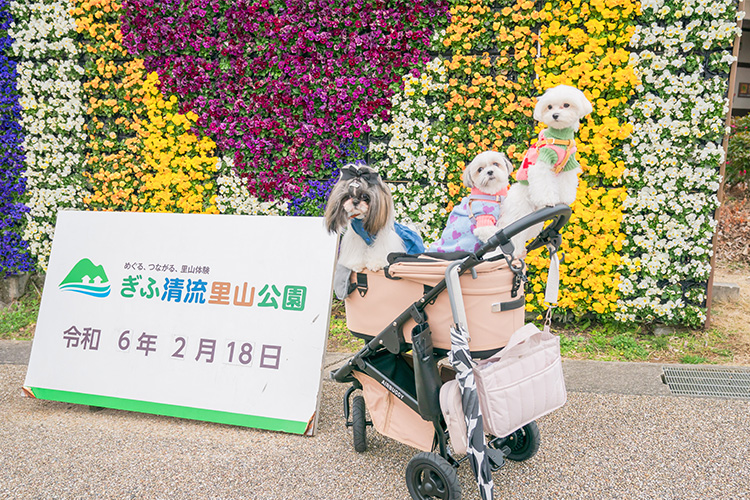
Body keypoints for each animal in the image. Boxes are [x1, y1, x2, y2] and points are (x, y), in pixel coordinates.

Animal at [500, 84, 592, 258]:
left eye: (566, 105)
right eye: (549, 107)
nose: (555, 115)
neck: (560, 138)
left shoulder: (568, 165)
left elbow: (566, 184)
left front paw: (564, 200)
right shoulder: (542, 162)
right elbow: (543, 182)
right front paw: (549, 200)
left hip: (533, 223)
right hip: (520, 214)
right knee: (515, 237)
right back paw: (515, 254)